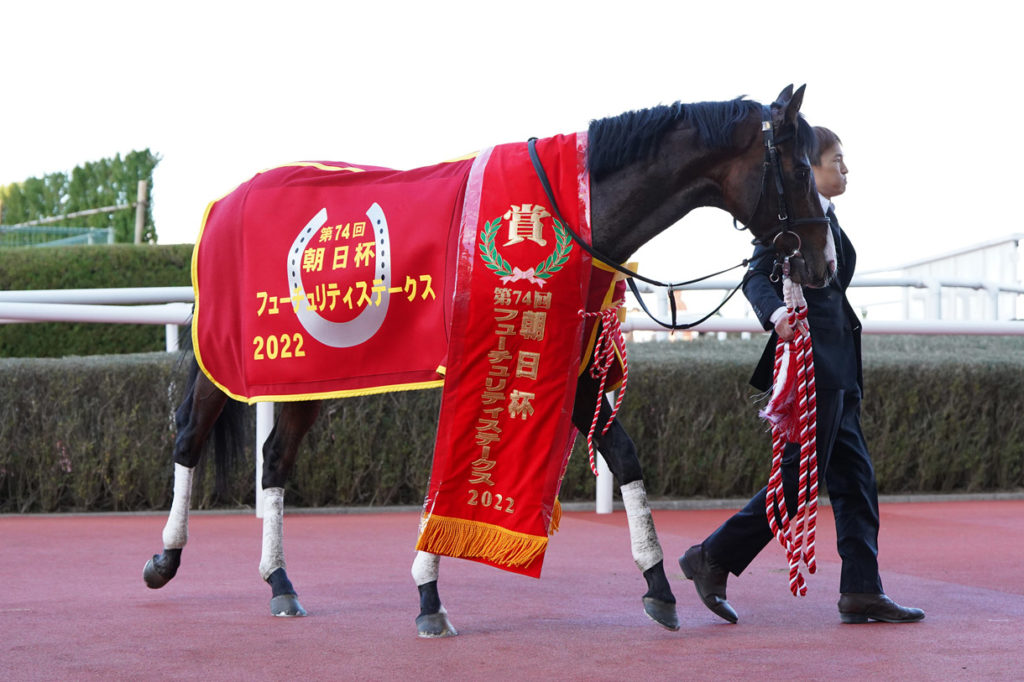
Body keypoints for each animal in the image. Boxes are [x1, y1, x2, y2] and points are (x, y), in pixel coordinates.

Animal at [144, 84, 832, 636]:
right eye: (800, 168)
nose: (822, 264)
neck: (567, 211)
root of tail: (226, 200)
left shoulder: (569, 371)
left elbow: (626, 458)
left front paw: (659, 587)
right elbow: (449, 475)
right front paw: (429, 598)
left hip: (310, 373)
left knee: (276, 457)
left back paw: (280, 583)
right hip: (235, 356)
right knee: (189, 435)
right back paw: (165, 558)